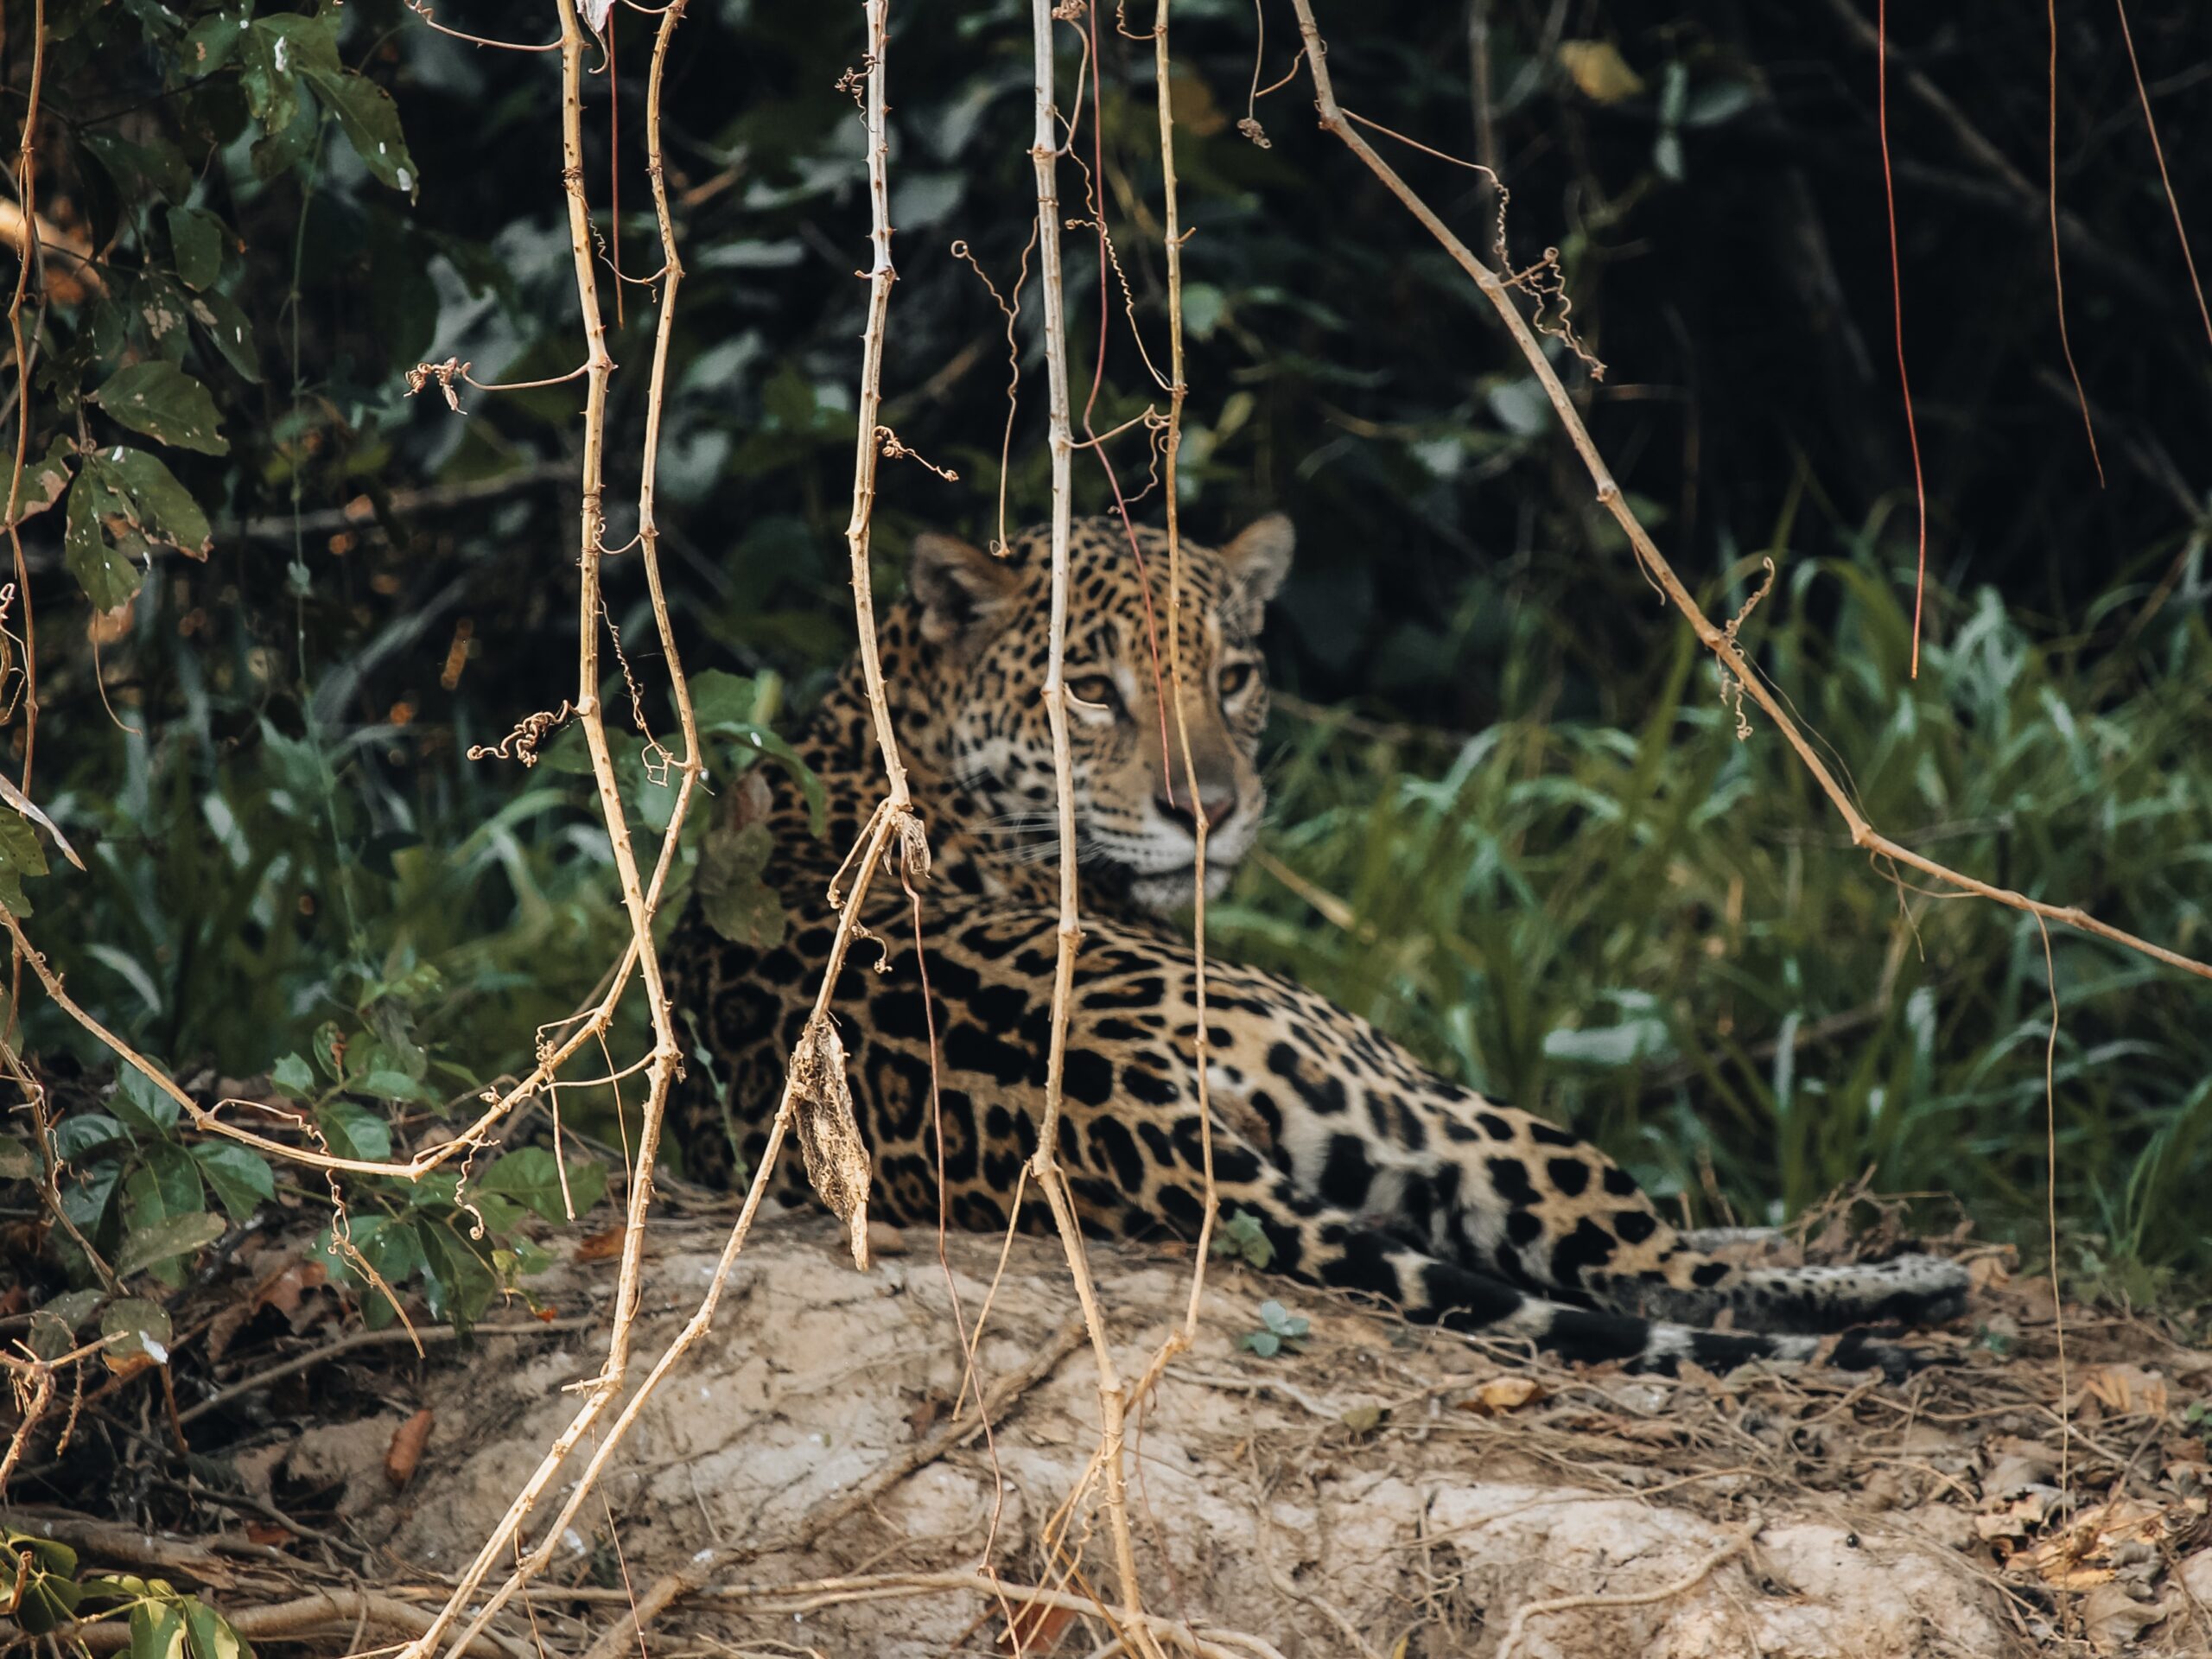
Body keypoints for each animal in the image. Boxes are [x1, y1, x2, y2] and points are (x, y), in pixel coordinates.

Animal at [664, 512, 1969, 1377]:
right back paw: (1914, 1283)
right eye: (1088, 690)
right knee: (1662, 1270)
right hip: (1420, 1091)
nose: (1209, 810)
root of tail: (1118, 1103)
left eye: (1237, 676)